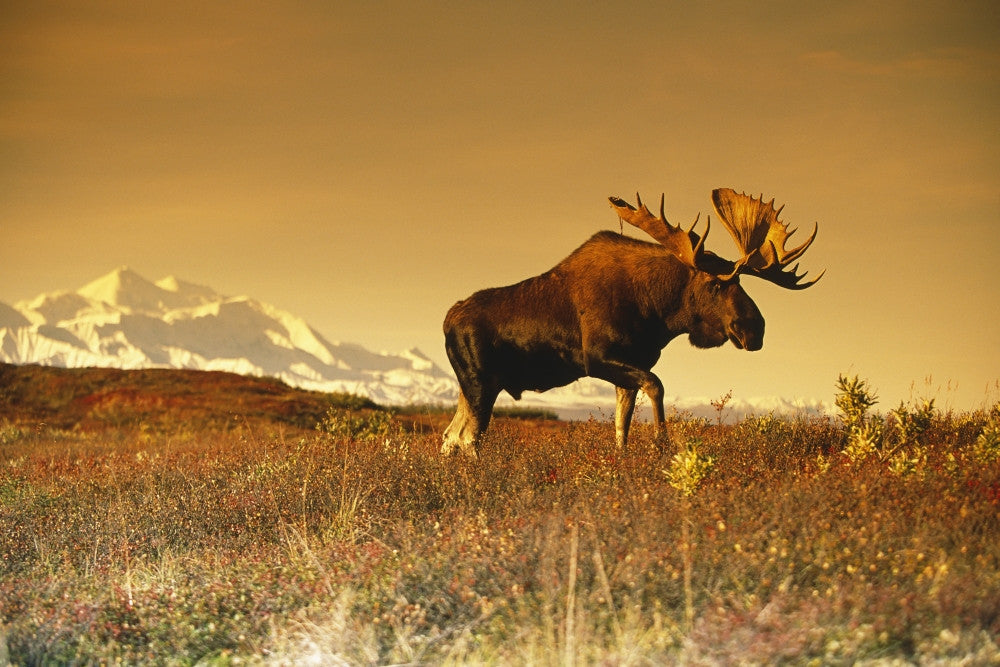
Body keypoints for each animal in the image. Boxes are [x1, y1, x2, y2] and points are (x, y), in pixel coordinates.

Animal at [441, 188, 823, 455]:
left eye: (742, 283)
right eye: (715, 284)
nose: (754, 328)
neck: (657, 311)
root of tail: (447, 320)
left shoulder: (628, 368)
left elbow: (621, 430)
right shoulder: (597, 359)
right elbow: (657, 386)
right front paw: (660, 443)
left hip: (472, 386)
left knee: (450, 436)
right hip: (481, 382)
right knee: (468, 438)